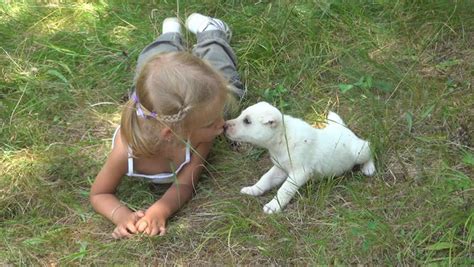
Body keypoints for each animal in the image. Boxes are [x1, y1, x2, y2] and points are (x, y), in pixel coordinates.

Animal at [224, 101, 376, 215]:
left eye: (247, 121)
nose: (224, 125)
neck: (281, 137)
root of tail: (343, 128)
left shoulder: (299, 173)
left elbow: (284, 190)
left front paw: (273, 206)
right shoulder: (280, 168)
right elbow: (265, 179)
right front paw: (253, 189)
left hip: (359, 151)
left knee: (369, 147)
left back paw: (369, 168)